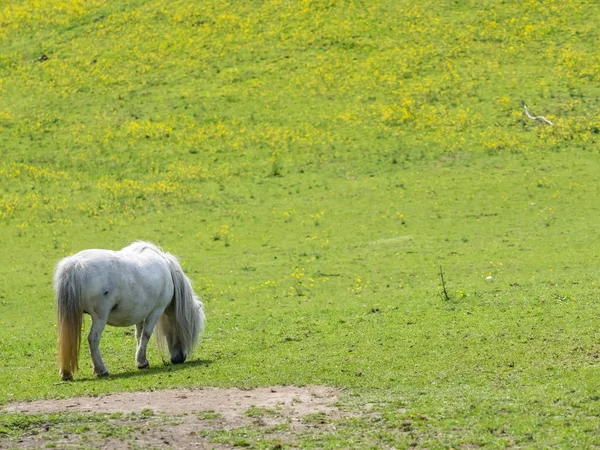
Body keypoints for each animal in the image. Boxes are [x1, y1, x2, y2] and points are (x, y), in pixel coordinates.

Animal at [54, 241, 204, 382]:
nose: (180, 358)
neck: (167, 269)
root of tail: (75, 265)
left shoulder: (141, 313)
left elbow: (139, 335)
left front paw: (139, 360)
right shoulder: (156, 311)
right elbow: (146, 335)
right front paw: (142, 362)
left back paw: (66, 373)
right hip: (100, 317)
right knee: (93, 339)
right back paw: (101, 370)